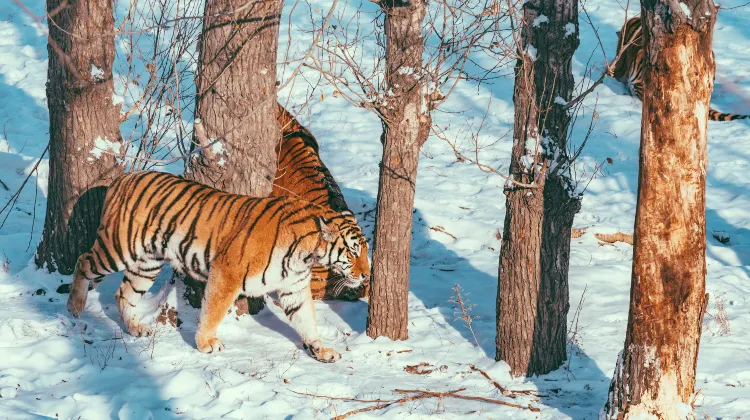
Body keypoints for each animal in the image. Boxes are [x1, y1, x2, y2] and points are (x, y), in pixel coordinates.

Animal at [66, 170, 372, 360]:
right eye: (353, 251)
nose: (367, 276)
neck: (307, 253)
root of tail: (123, 177)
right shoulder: (227, 273)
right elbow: (213, 312)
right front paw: (205, 344)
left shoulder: (293, 287)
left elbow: (307, 319)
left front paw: (321, 350)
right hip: (119, 248)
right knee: (83, 261)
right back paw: (75, 306)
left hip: (147, 262)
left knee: (124, 293)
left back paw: (135, 328)